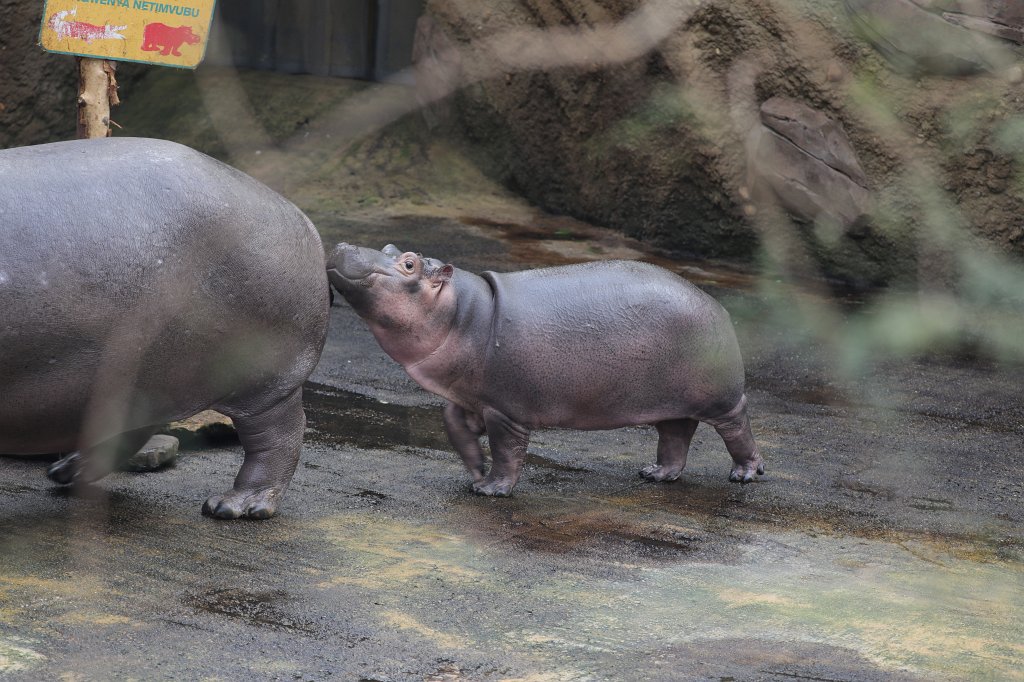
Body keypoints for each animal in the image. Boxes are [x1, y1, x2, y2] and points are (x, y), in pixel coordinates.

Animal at [0, 138, 330, 519]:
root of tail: (297, 214)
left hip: (264, 382)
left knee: (278, 435)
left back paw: (237, 506)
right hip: (148, 372)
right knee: (130, 428)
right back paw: (67, 471)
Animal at [327, 243, 763, 497]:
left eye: (409, 264)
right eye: (389, 246)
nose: (344, 244)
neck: (462, 314)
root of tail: (716, 306)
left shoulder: (506, 410)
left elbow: (507, 451)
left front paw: (490, 489)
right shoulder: (468, 397)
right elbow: (454, 427)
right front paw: (475, 471)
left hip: (721, 399)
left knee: (737, 425)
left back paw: (745, 474)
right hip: (672, 400)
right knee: (676, 434)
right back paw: (654, 474)